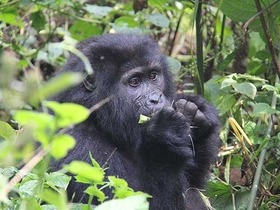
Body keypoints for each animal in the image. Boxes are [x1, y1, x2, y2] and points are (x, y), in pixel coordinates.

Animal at [50, 34, 221, 210]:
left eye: (153, 76)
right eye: (134, 82)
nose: (156, 99)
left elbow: (195, 185)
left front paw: (196, 112)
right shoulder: (76, 144)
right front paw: (163, 142)